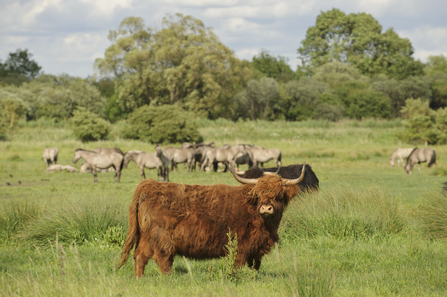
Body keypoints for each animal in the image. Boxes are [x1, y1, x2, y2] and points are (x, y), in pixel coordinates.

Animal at [119, 162, 308, 276]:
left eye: (278, 194)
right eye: (259, 193)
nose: (266, 208)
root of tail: (148, 185)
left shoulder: (257, 247)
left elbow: (254, 265)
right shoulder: (242, 244)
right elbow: (238, 263)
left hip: (146, 235)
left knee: (140, 255)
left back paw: (140, 278)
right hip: (162, 237)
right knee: (163, 258)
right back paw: (169, 278)